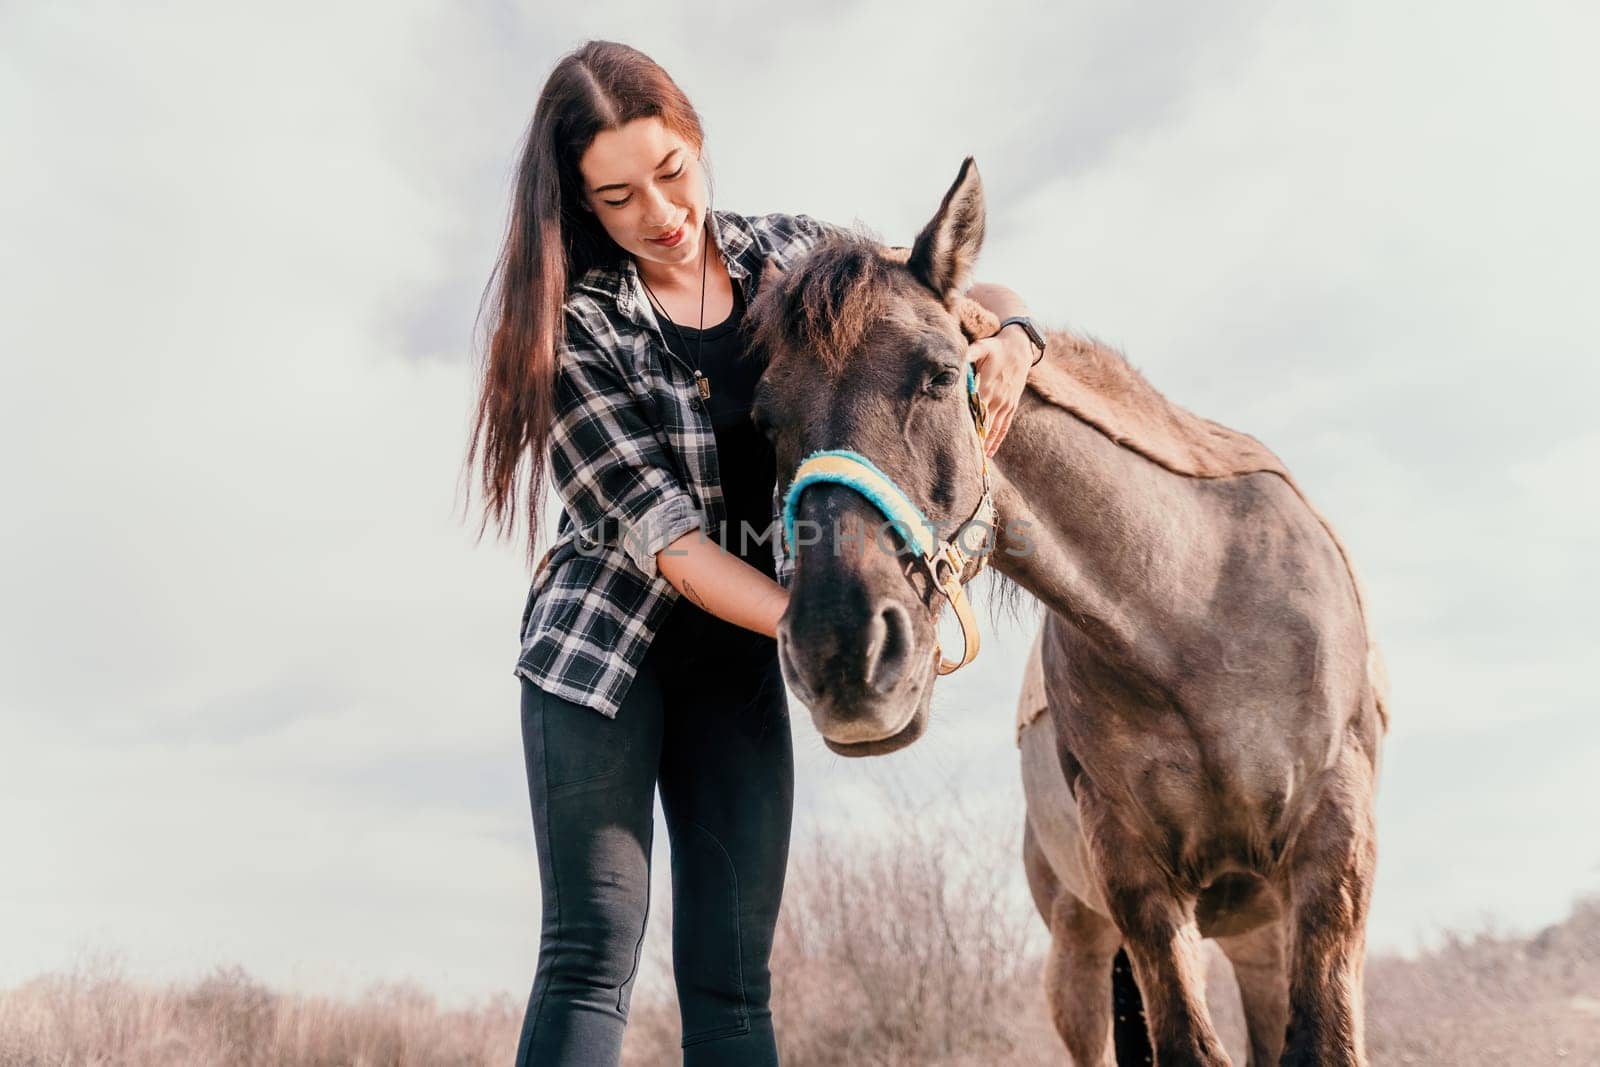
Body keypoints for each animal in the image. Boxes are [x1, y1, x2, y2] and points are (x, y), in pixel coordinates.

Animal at [748, 154, 1388, 1062]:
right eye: (764, 418)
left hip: (1261, 935)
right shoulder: (1137, 879)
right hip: (1083, 955)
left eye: (937, 374)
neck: (1193, 614)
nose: (841, 652)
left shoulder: (1333, 851)